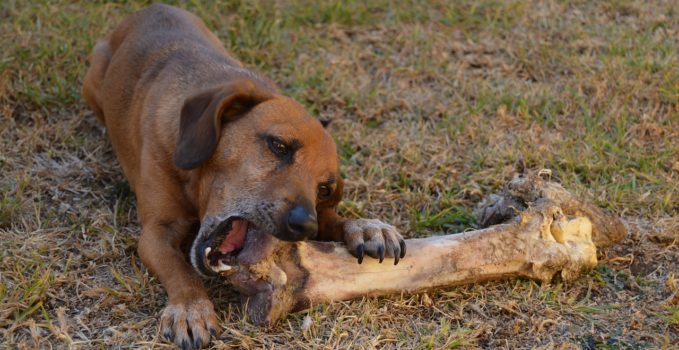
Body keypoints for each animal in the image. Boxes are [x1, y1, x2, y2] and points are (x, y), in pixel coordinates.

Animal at [82, 3, 406, 350]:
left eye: (324, 189)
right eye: (279, 145)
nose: (306, 226)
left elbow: (335, 220)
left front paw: (366, 227)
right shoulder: (156, 232)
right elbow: (180, 269)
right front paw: (191, 307)